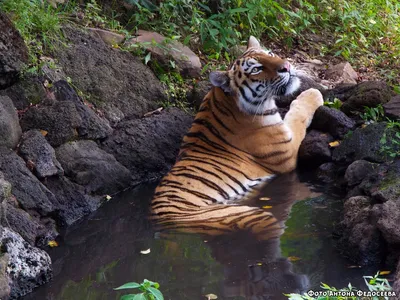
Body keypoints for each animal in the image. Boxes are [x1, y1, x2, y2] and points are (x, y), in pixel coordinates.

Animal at [149, 35, 322, 241]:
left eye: (270, 54)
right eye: (257, 69)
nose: (286, 66)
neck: (224, 100)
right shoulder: (288, 150)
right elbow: (298, 114)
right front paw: (313, 93)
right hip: (255, 216)